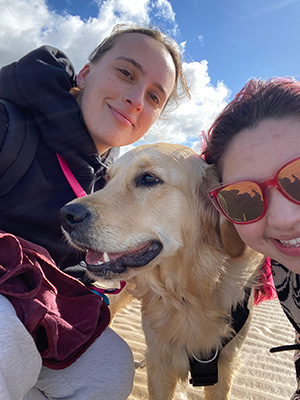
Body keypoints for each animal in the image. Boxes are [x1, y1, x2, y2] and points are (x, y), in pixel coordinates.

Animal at [59, 142, 262, 398]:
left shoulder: (225, 364)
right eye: (108, 179)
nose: (66, 215)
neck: (188, 291)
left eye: (149, 178)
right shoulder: (160, 361)